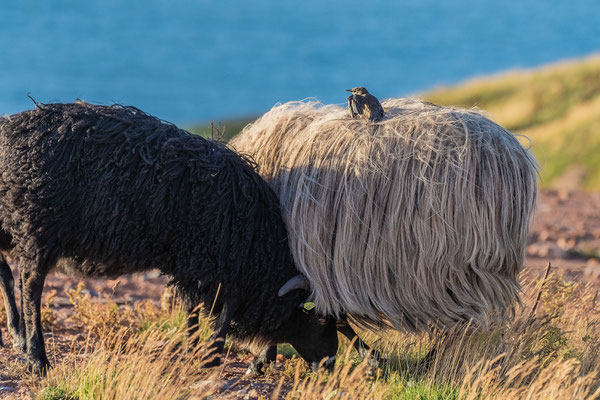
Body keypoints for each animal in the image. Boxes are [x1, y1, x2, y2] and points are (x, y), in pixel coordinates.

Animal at [0, 102, 338, 372]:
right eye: (322, 321)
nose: (331, 363)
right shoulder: (219, 263)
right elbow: (221, 310)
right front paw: (210, 356)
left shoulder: (194, 264)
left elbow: (192, 309)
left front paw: (194, 350)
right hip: (37, 226)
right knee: (30, 286)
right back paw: (37, 358)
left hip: (12, 227)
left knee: (8, 273)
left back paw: (19, 338)